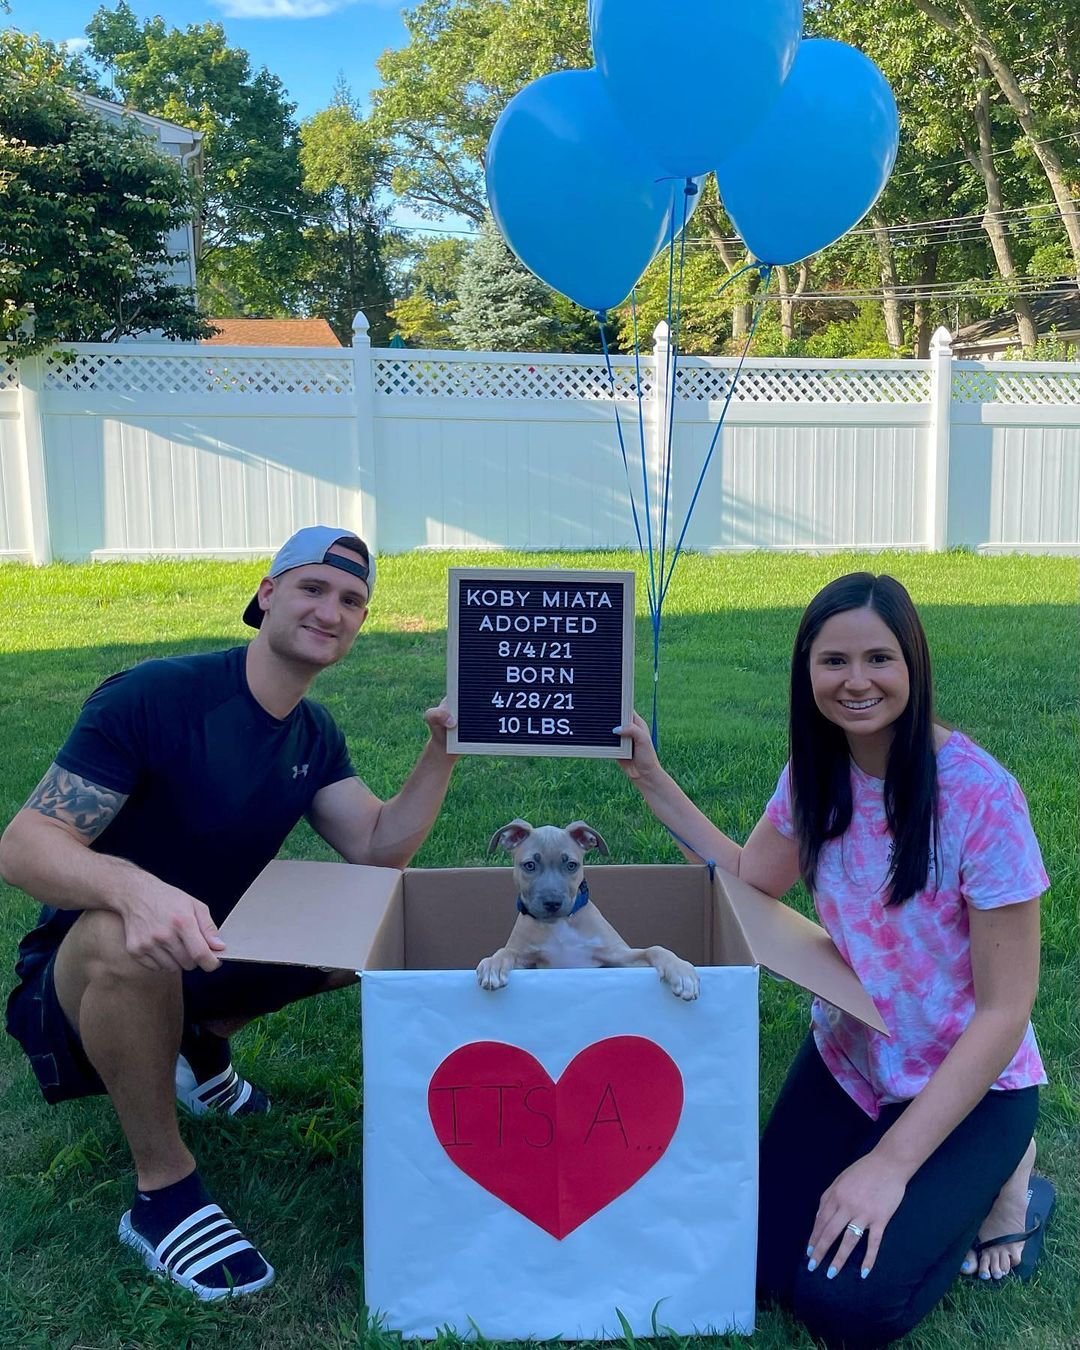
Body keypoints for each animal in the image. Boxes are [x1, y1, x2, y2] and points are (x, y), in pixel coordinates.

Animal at [475, 815, 702, 999]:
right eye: (530, 865)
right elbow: (507, 951)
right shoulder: (528, 961)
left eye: (571, 865)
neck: (558, 925)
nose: (552, 903)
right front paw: (493, 963)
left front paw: (681, 971)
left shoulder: (618, 957)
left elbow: (654, 949)